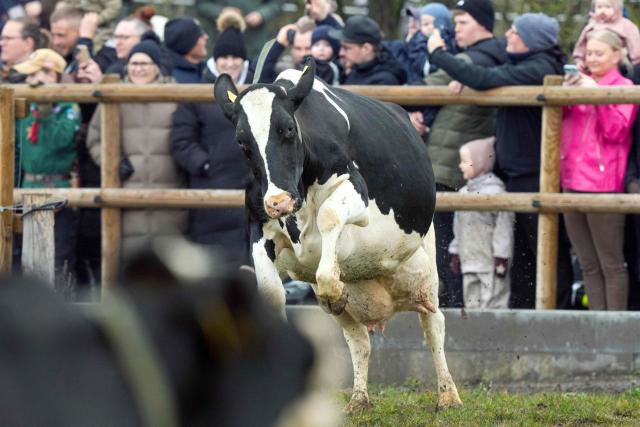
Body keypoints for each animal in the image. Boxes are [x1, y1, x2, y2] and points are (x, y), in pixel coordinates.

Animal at [214, 59, 462, 412]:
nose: (279, 201)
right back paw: (359, 399)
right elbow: (272, 294)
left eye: (288, 129)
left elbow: (329, 214)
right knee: (358, 339)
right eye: (242, 143)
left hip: (425, 263)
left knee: (433, 325)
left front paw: (332, 286)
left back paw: (448, 396)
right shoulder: (258, 223)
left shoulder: (355, 190)